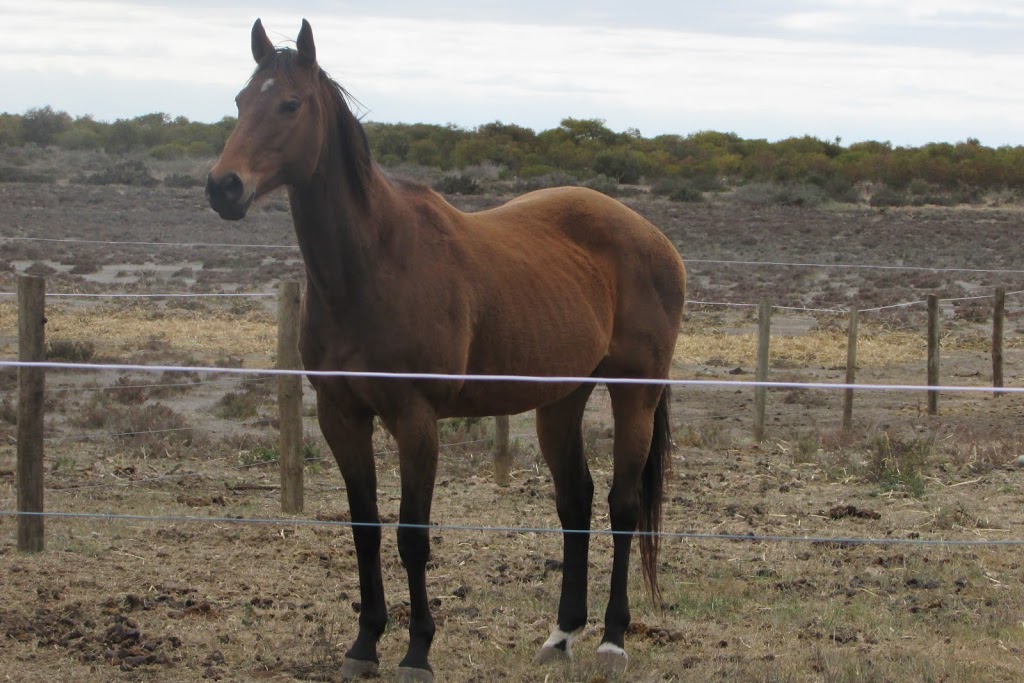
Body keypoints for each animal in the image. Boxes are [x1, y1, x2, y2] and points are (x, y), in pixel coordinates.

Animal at [205, 18, 688, 679]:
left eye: (290, 104)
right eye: (238, 101)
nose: (223, 187)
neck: (373, 263)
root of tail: (655, 238)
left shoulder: (415, 420)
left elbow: (412, 535)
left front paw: (417, 651)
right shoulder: (340, 415)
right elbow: (365, 528)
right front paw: (364, 644)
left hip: (634, 394)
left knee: (622, 506)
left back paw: (613, 639)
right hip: (561, 398)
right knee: (575, 502)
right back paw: (562, 633)